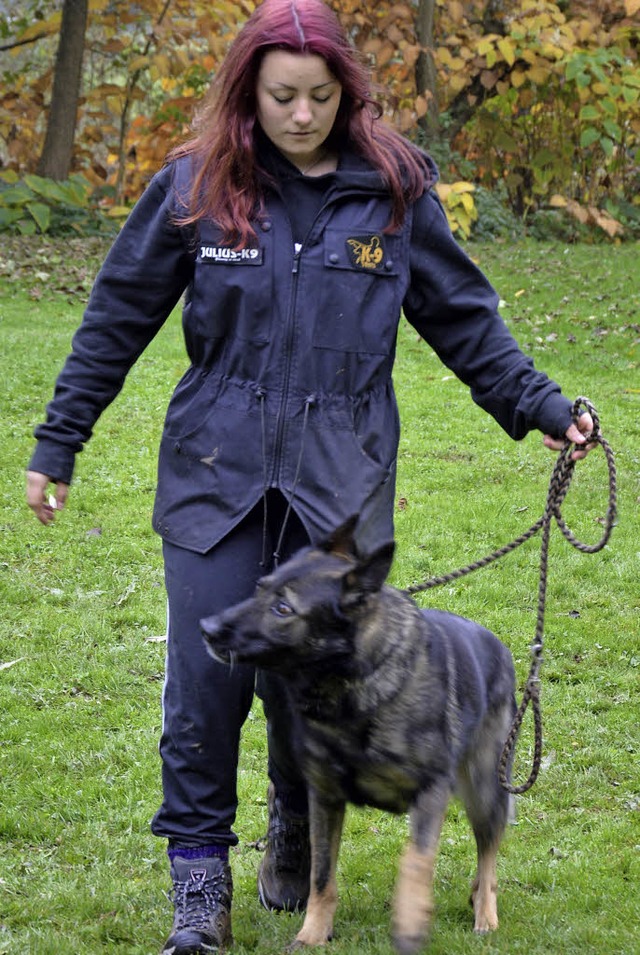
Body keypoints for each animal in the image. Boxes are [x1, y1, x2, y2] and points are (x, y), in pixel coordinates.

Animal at [202, 520, 516, 952]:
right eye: (260, 588)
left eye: (283, 609)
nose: (207, 628)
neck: (350, 691)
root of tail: (499, 646)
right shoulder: (324, 798)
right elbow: (321, 875)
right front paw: (312, 934)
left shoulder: (431, 792)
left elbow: (415, 861)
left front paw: (410, 923)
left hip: (485, 794)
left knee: (488, 861)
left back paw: (485, 915)